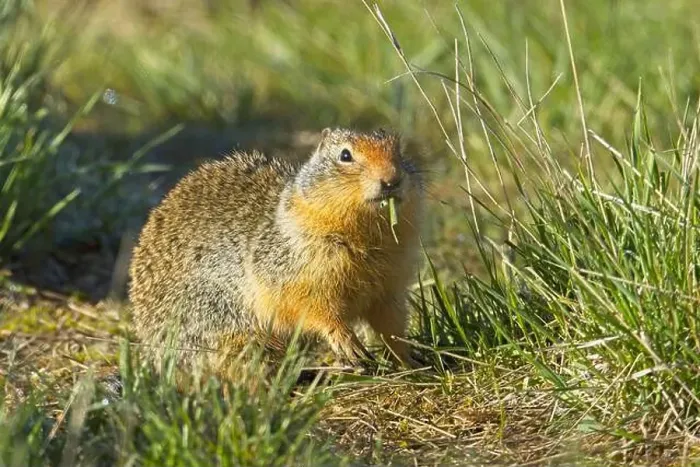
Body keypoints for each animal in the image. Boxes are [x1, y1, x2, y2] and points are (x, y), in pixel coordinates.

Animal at [128, 127, 424, 378]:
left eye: (399, 150)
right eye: (345, 155)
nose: (392, 180)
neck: (367, 236)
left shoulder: (389, 287)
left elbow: (392, 325)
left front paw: (410, 362)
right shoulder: (296, 272)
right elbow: (315, 308)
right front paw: (347, 343)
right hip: (226, 329)